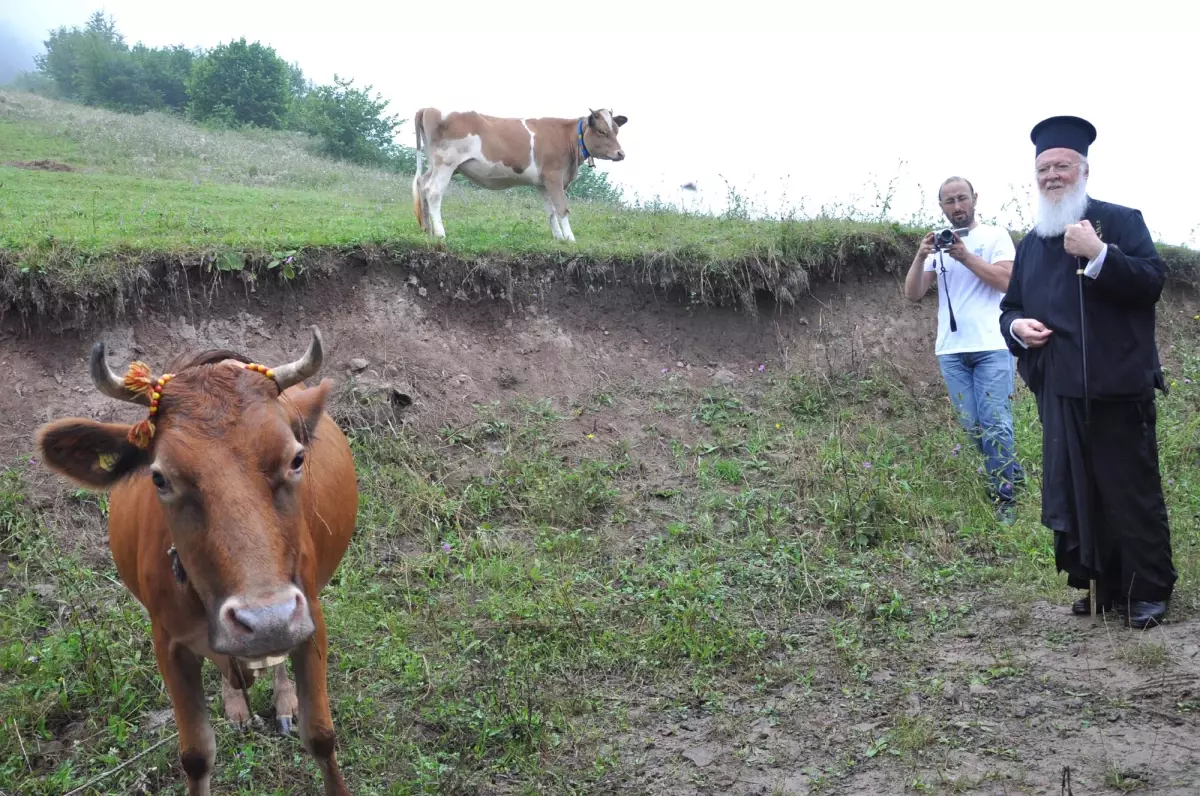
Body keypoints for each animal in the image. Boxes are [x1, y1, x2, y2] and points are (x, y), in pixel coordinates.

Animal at [34, 326, 355, 792]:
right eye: (159, 478)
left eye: (297, 458)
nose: (268, 620)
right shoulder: (168, 643)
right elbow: (196, 755)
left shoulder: (310, 617)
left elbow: (321, 735)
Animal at [412, 107, 628, 241]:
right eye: (601, 131)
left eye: (616, 130)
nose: (621, 153)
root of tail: (429, 108)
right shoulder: (554, 176)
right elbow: (562, 208)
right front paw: (570, 238)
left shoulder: (542, 182)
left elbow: (550, 211)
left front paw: (558, 237)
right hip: (446, 163)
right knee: (433, 191)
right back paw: (440, 233)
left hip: (436, 165)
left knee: (421, 184)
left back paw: (427, 229)